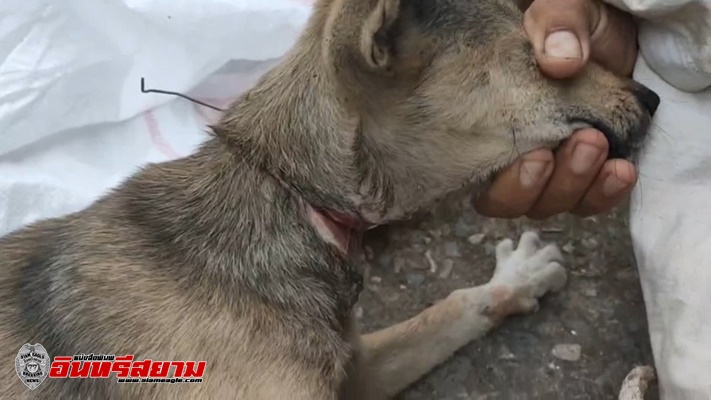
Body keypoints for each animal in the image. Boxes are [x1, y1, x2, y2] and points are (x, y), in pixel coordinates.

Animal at [0, 0, 660, 396]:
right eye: (534, 57)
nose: (653, 98)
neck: (287, 194)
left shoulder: (358, 368)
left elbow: (442, 312)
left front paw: (513, 281)